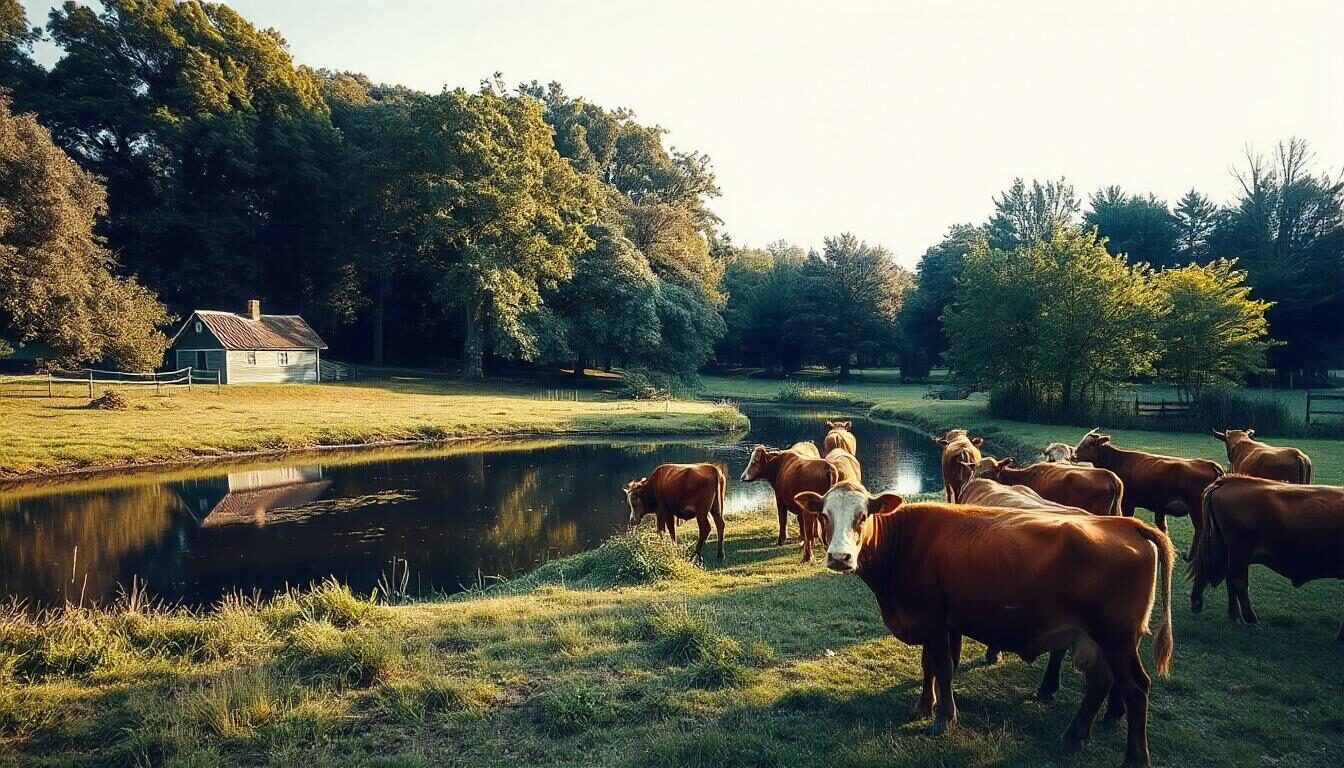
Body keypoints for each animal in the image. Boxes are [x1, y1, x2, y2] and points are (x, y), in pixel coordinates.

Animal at [790, 481, 1171, 768]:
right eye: (824, 514)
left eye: (863, 515)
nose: (840, 558)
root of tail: (1124, 524)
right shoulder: (934, 621)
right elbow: (928, 666)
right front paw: (923, 707)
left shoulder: (931, 619)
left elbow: (943, 668)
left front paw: (943, 718)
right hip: (1100, 638)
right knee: (1101, 682)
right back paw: (1074, 737)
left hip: (1117, 638)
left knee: (1135, 688)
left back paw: (1134, 758)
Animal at [1075, 430, 1225, 538]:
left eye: (1088, 444)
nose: (1073, 455)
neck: (1118, 460)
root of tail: (1208, 463)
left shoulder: (1128, 503)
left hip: (1196, 509)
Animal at [1193, 476, 1338, 642]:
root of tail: (1227, 481)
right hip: (1239, 551)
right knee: (1238, 581)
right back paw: (1251, 621)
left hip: (1231, 552)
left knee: (1226, 577)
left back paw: (1233, 615)